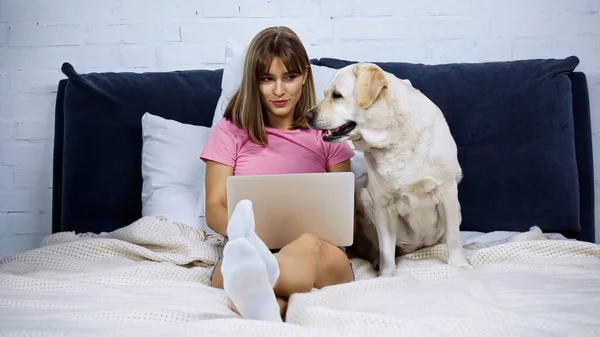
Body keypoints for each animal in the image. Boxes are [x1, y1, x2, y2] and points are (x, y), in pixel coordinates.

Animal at [308, 61, 472, 274]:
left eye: (337, 95)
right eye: (326, 93)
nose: (307, 115)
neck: (393, 140)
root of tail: (418, 247)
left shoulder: (447, 192)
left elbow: (453, 237)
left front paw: (460, 264)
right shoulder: (383, 205)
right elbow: (386, 250)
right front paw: (387, 274)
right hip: (363, 197)